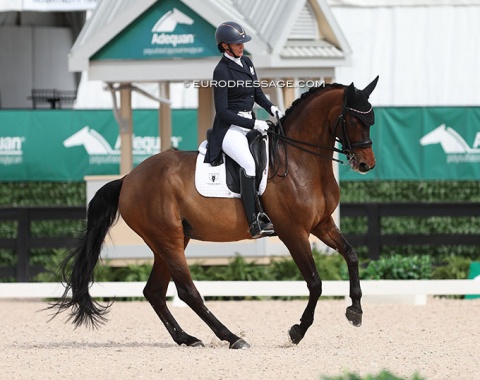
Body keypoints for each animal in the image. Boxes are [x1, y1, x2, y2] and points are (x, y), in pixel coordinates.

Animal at [48, 75, 378, 348]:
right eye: (353, 120)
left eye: (371, 120)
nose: (366, 164)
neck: (300, 161)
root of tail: (128, 178)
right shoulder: (293, 231)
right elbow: (315, 282)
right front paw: (297, 331)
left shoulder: (322, 224)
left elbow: (351, 255)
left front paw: (355, 311)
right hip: (167, 238)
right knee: (186, 291)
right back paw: (231, 338)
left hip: (171, 240)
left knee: (154, 291)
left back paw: (187, 338)